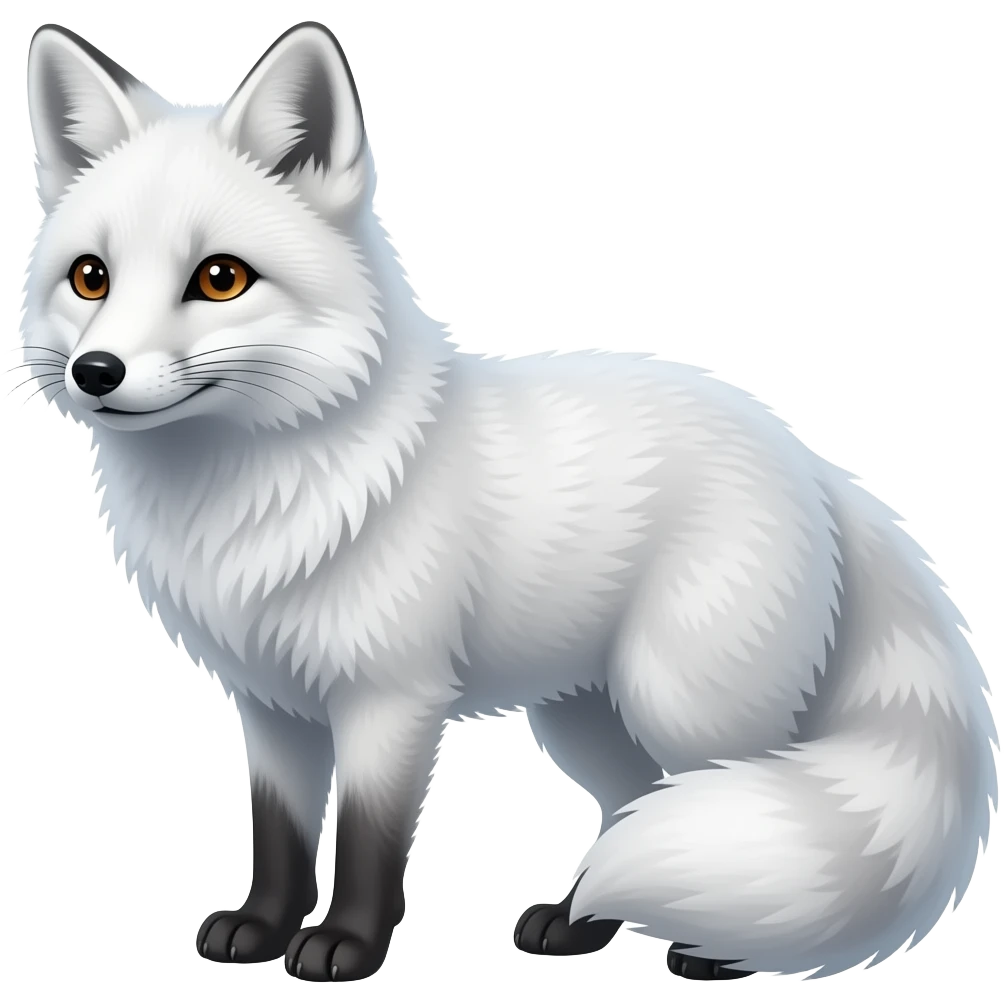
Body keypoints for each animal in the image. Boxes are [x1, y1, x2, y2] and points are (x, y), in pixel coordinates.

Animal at [18, 19, 998, 984]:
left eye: (220, 278)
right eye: (91, 277)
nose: (96, 372)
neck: (256, 496)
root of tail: (812, 460)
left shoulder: (390, 698)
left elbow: (369, 840)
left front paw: (346, 947)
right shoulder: (272, 706)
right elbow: (280, 837)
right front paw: (260, 929)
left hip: (685, 707)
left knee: (725, 815)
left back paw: (714, 953)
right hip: (588, 719)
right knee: (639, 811)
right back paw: (581, 922)